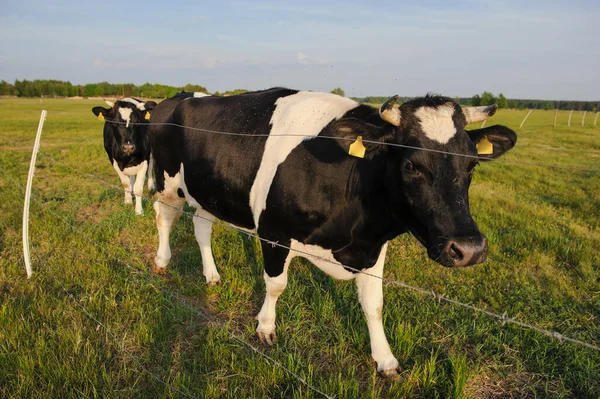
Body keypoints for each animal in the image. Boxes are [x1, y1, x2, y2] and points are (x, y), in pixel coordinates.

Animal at [146, 88, 516, 378]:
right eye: (411, 165)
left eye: (471, 165)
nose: (469, 248)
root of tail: (180, 96)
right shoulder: (274, 232)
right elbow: (276, 284)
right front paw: (266, 328)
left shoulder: (373, 247)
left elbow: (374, 303)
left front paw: (385, 359)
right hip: (167, 182)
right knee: (164, 216)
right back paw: (162, 261)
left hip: (207, 191)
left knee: (201, 226)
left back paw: (211, 275)